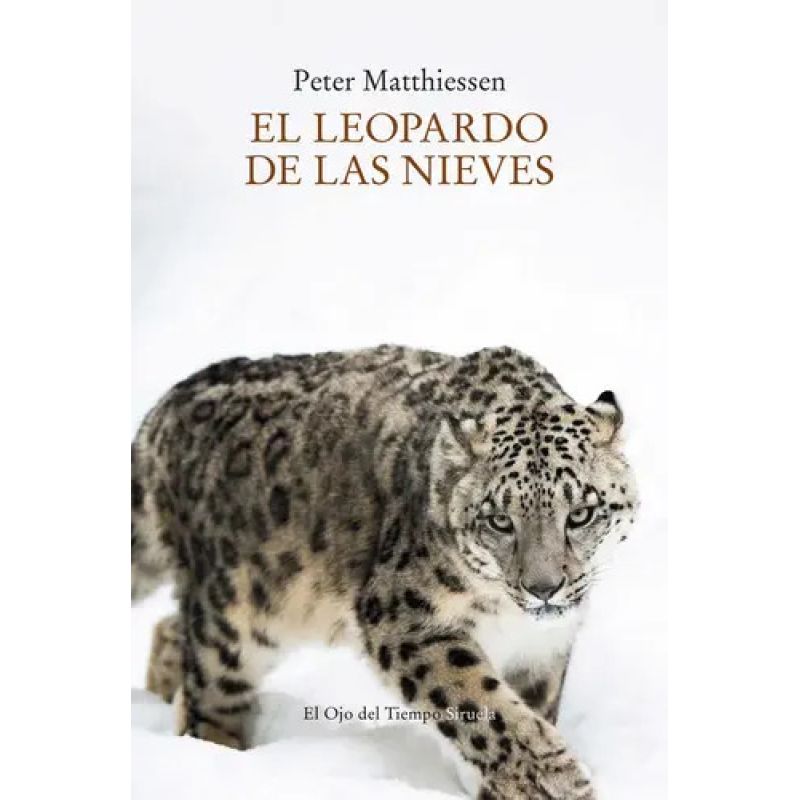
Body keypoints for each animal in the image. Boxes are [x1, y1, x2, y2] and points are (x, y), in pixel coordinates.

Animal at [131, 345, 639, 800]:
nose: (543, 589)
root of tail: (166, 405)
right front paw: (555, 781)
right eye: (499, 520)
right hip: (232, 616)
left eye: (580, 514)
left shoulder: (543, 649)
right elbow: (480, 703)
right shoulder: (404, 617)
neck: (509, 620)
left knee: (171, 629)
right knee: (209, 693)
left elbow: (529, 707)